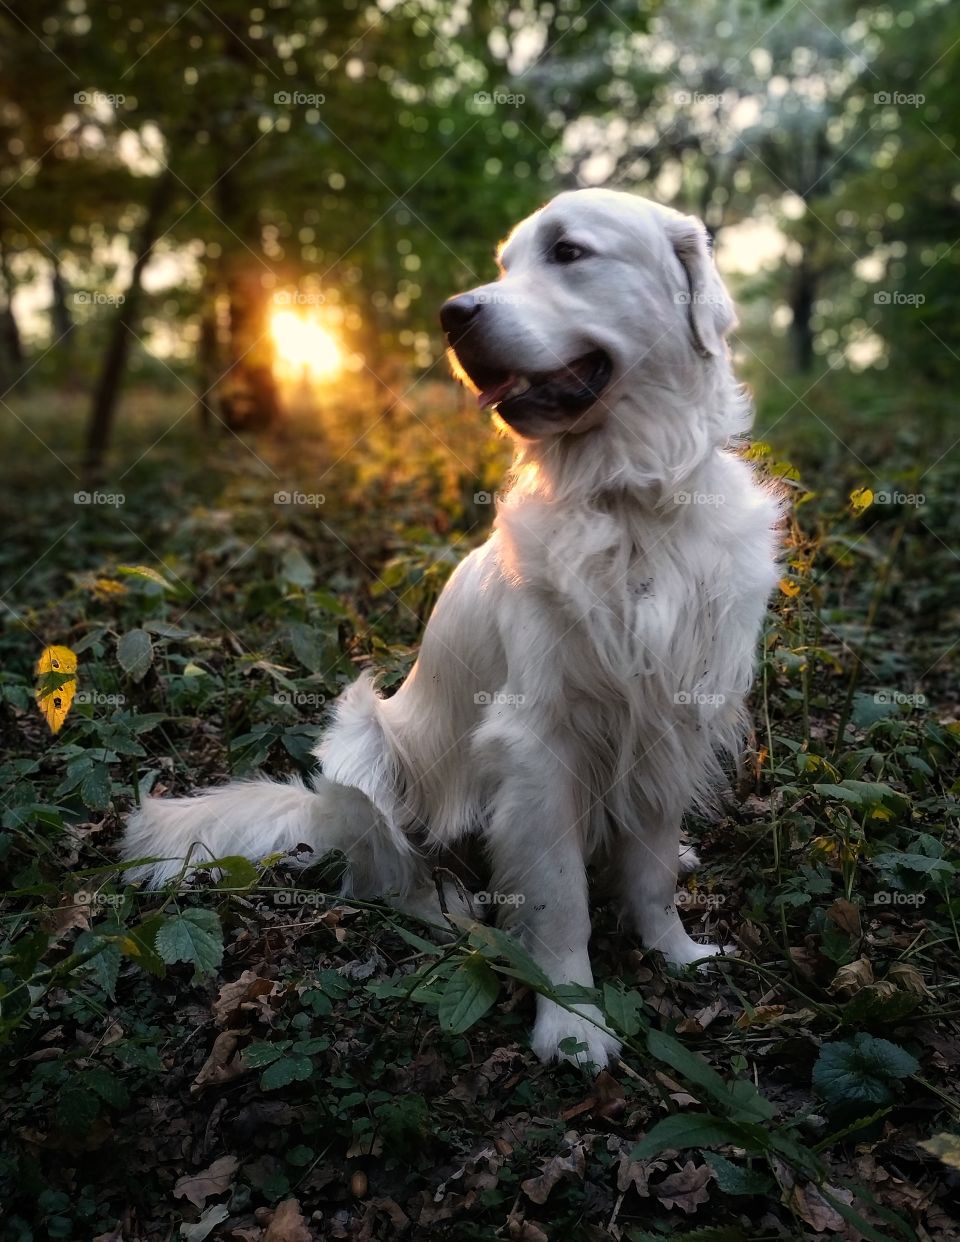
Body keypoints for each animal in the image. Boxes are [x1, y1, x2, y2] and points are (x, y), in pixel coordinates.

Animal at [123, 191, 779, 1068]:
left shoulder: (667, 716)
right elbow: (559, 900)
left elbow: (649, 877)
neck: (629, 500)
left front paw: (675, 953)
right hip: (365, 746)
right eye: (505, 264)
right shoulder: (537, 743)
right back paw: (450, 905)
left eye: (569, 252)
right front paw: (572, 1023)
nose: (452, 315)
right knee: (390, 879)